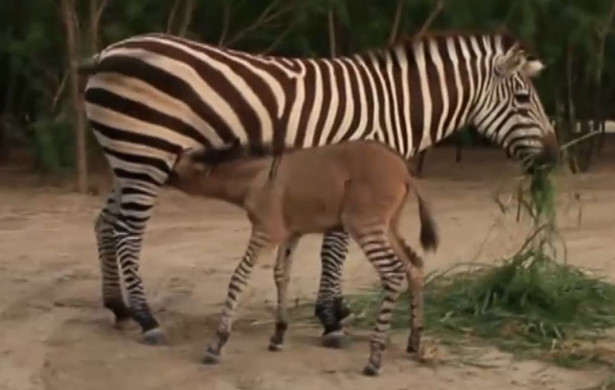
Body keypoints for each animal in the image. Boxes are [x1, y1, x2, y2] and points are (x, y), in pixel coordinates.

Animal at [80, 31, 560, 348]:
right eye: (523, 100)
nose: (554, 157)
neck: (395, 108)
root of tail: (108, 50)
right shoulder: (354, 174)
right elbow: (336, 250)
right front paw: (331, 319)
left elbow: (335, 247)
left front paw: (335, 310)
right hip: (145, 153)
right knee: (127, 233)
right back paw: (146, 318)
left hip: (130, 156)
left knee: (105, 223)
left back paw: (117, 307)